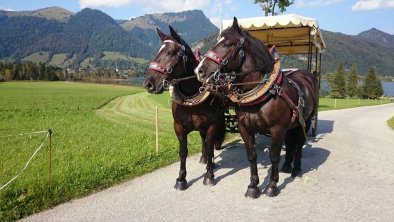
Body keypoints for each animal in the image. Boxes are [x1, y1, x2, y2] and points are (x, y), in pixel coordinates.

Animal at [145, 26, 226, 190]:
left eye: (171, 52)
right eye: (157, 51)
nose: (149, 84)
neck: (191, 96)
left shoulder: (211, 125)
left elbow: (210, 148)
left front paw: (209, 175)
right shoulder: (179, 127)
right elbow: (183, 152)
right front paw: (181, 179)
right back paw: (204, 159)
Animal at [195, 17, 318, 198]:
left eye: (227, 44)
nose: (200, 70)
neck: (263, 92)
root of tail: (308, 75)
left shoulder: (277, 129)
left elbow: (274, 156)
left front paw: (272, 186)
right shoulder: (246, 128)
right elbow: (252, 155)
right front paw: (253, 186)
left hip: (306, 121)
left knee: (299, 143)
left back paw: (296, 168)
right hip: (292, 125)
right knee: (290, 144)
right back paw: (287, 166)